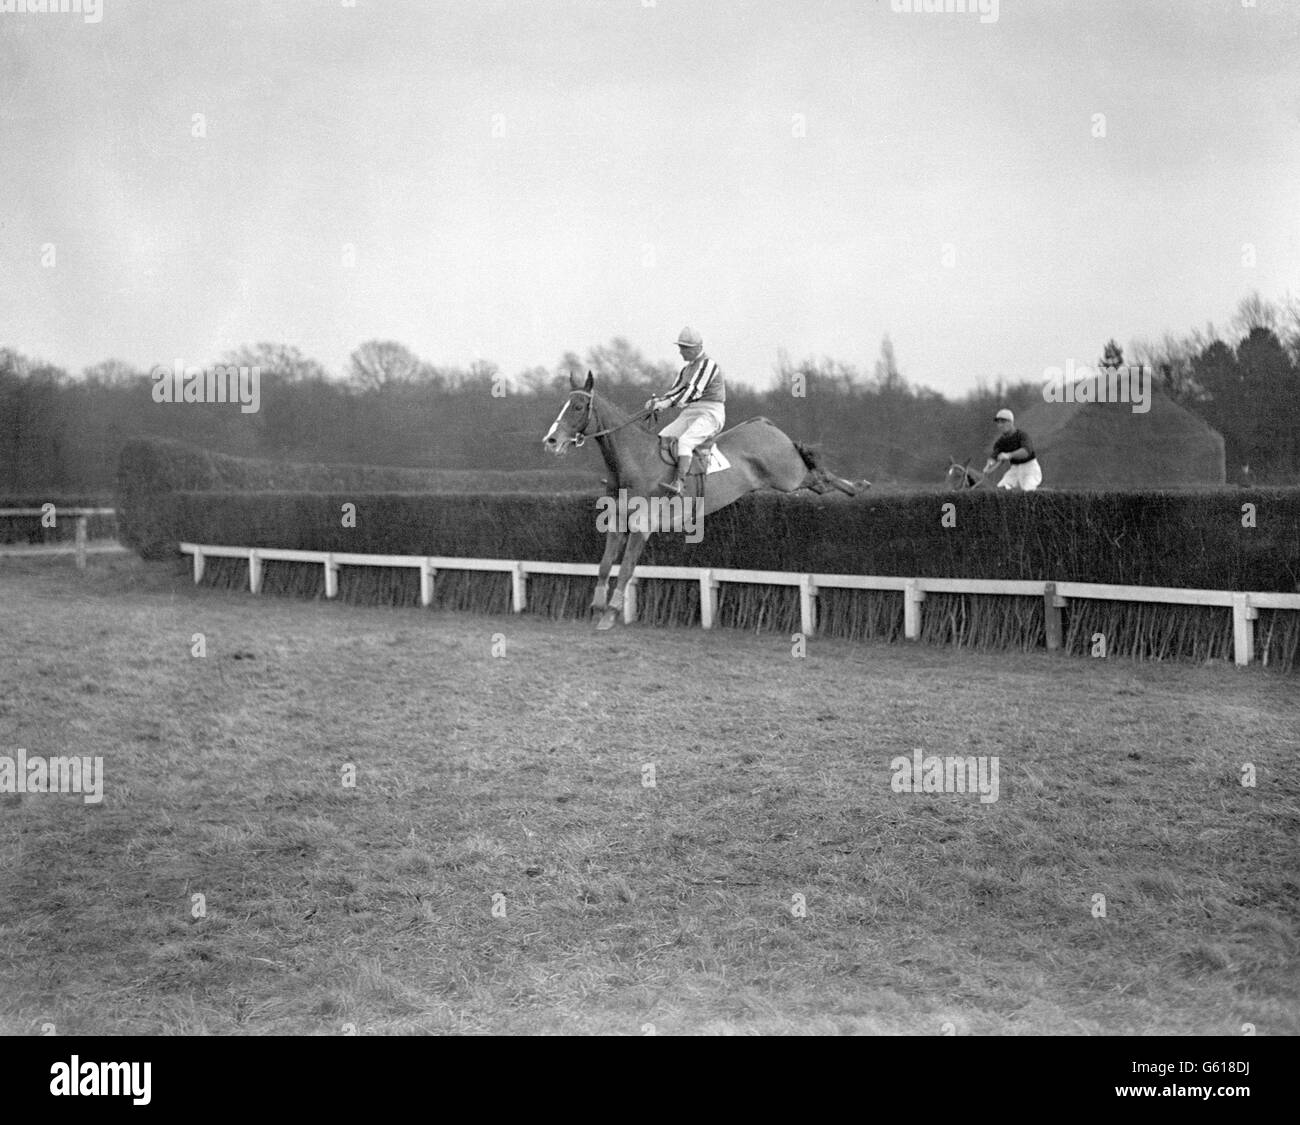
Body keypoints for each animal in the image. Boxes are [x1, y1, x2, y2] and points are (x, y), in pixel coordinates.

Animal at [543, 371, 868, 626]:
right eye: (564, 405)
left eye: (578, 406)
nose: (551, 441)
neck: (634, 461)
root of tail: (765, 424)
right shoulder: (617, 524)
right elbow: (604, 565)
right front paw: (597, 607)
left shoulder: (641, 527)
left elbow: (624, 570)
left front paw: (610, 612)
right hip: (789, 478)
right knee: (820, 483)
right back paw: (854, 487)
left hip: (788, 475)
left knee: (818, 472)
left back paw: (857, 486)